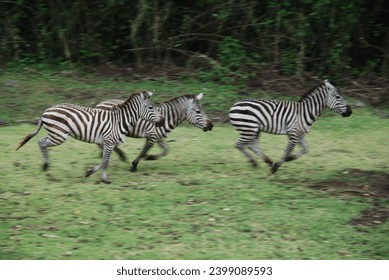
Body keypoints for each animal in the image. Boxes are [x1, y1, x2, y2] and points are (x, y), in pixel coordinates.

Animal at [15, 89, 163, 184]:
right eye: (150, 108)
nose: (161, 121)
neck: (120, 120)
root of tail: (46, 111)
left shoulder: (108, 143)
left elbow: (106, 160)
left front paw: (89, 172)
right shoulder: (108, 142)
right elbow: (105, 161)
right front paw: (105, 179)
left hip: (57, 135)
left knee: (42, 142)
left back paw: (45, 166)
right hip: (59, 135)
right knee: (41, 142)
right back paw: (45, 165)